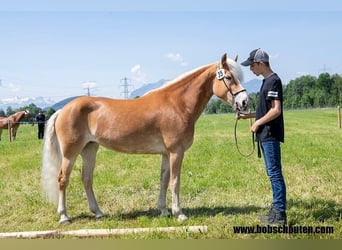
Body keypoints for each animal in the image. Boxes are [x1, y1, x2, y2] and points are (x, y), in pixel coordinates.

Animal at [41, 52, 250, 223]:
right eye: (229, 77)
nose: (244, 102)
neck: (177, 104)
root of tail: (63, 109)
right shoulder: (176, 152)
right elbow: (175, 181)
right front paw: (179, 213)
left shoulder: (166, 153)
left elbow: (164, 180)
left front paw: (163, 210)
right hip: (70, 153)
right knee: (63, 179)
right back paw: (64, 216)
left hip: (90, 148)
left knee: (86, 179)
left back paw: (98, 212)